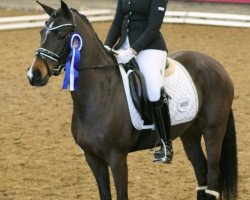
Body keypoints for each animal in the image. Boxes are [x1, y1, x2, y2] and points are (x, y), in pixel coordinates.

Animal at [26, 1, 236, 200]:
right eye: (42, 32)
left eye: (62, 34)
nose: (34, 74)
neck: (100, 95)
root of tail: (215, 65)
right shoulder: (92, 158)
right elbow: (105, 194)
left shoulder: (117, 157)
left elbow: (122, 194)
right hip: (189, 133)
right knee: (201, 174)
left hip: (213, 130)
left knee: (212, 178)